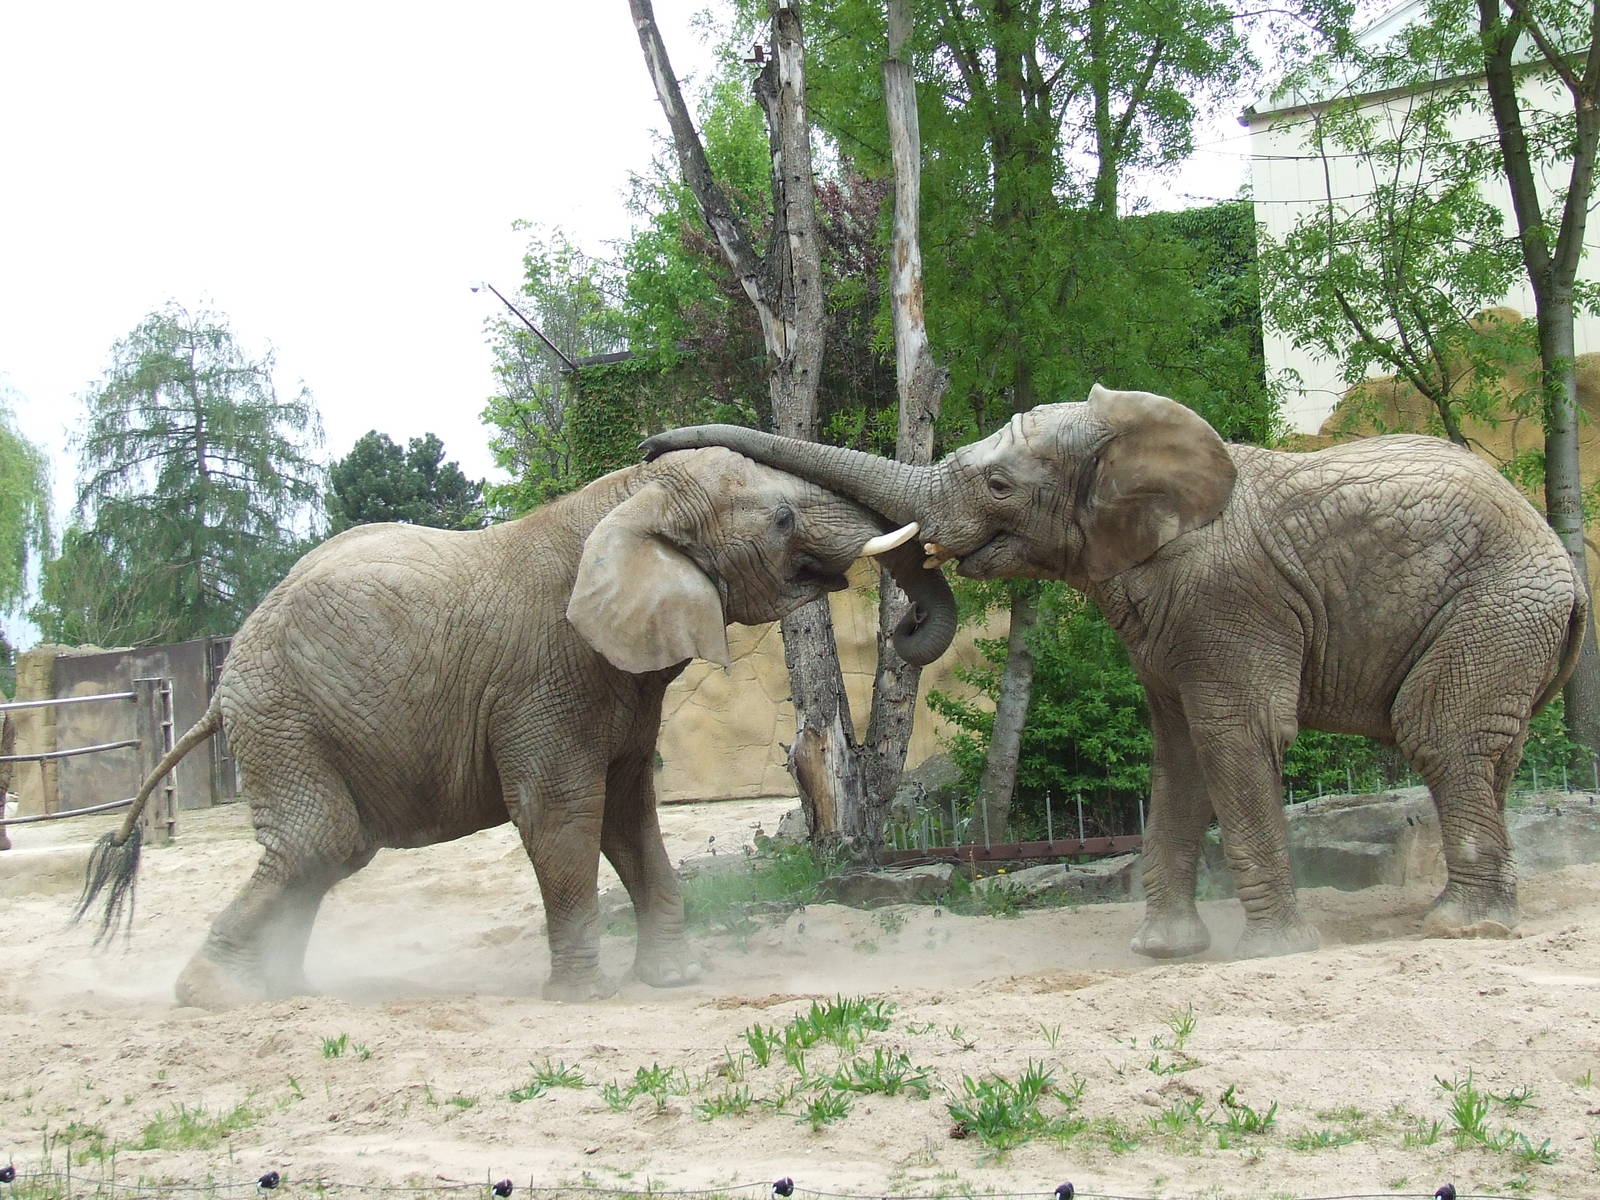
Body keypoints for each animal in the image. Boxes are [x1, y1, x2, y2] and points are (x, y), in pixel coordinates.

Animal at [77, 447, 956, 1008]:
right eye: (779, 519)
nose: (907, 620)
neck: (624, 499)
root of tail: (220, 683)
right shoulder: (544, 682)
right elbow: (561, 815)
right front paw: (583, 998)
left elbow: (631, 818)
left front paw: (676, 981)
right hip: (285, 716)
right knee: (316, 841)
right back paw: (215, 994)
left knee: (328, 852)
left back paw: (286, 991)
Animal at [641, 385, 1587, 958]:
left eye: (997, 486)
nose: (650, 446)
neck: (1133, 438)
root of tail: (1567, 568)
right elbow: (1178, 751)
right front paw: (1165, 952)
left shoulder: (1225, 601)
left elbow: (1233, 735)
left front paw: (1268, 952)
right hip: (1508, 626)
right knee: (1485, 751)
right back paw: (1488, 912)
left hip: (1496, 609)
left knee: (1442, 738)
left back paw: (1458, 925)